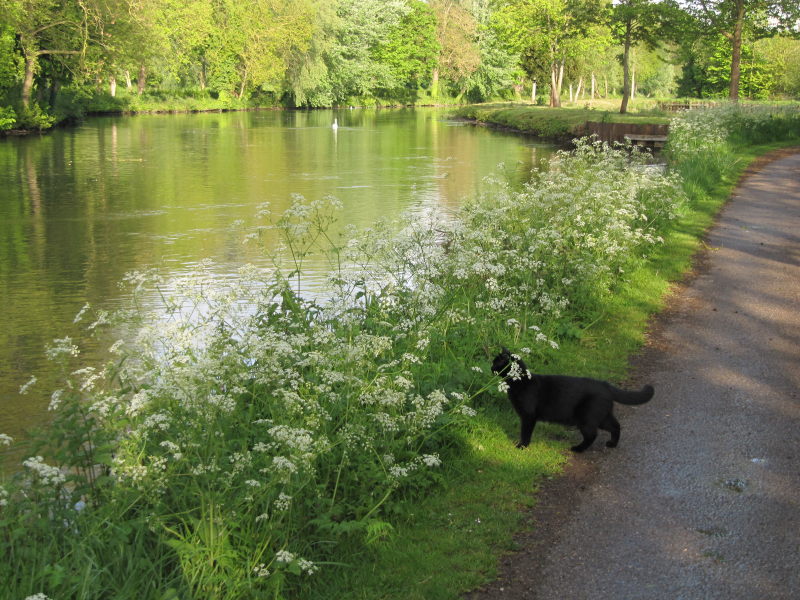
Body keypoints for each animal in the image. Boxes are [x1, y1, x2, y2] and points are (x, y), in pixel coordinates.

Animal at [490, 344, 652, 452]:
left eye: (495, 363)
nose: (490, 368)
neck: (521, 381)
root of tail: (605, 385)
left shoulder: (528, 416)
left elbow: (525, 433)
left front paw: (522, 446)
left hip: (587, 418)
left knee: (592, 435)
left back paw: (578, 449)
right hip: (602, 416)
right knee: (615, 426)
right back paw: (612, 444)